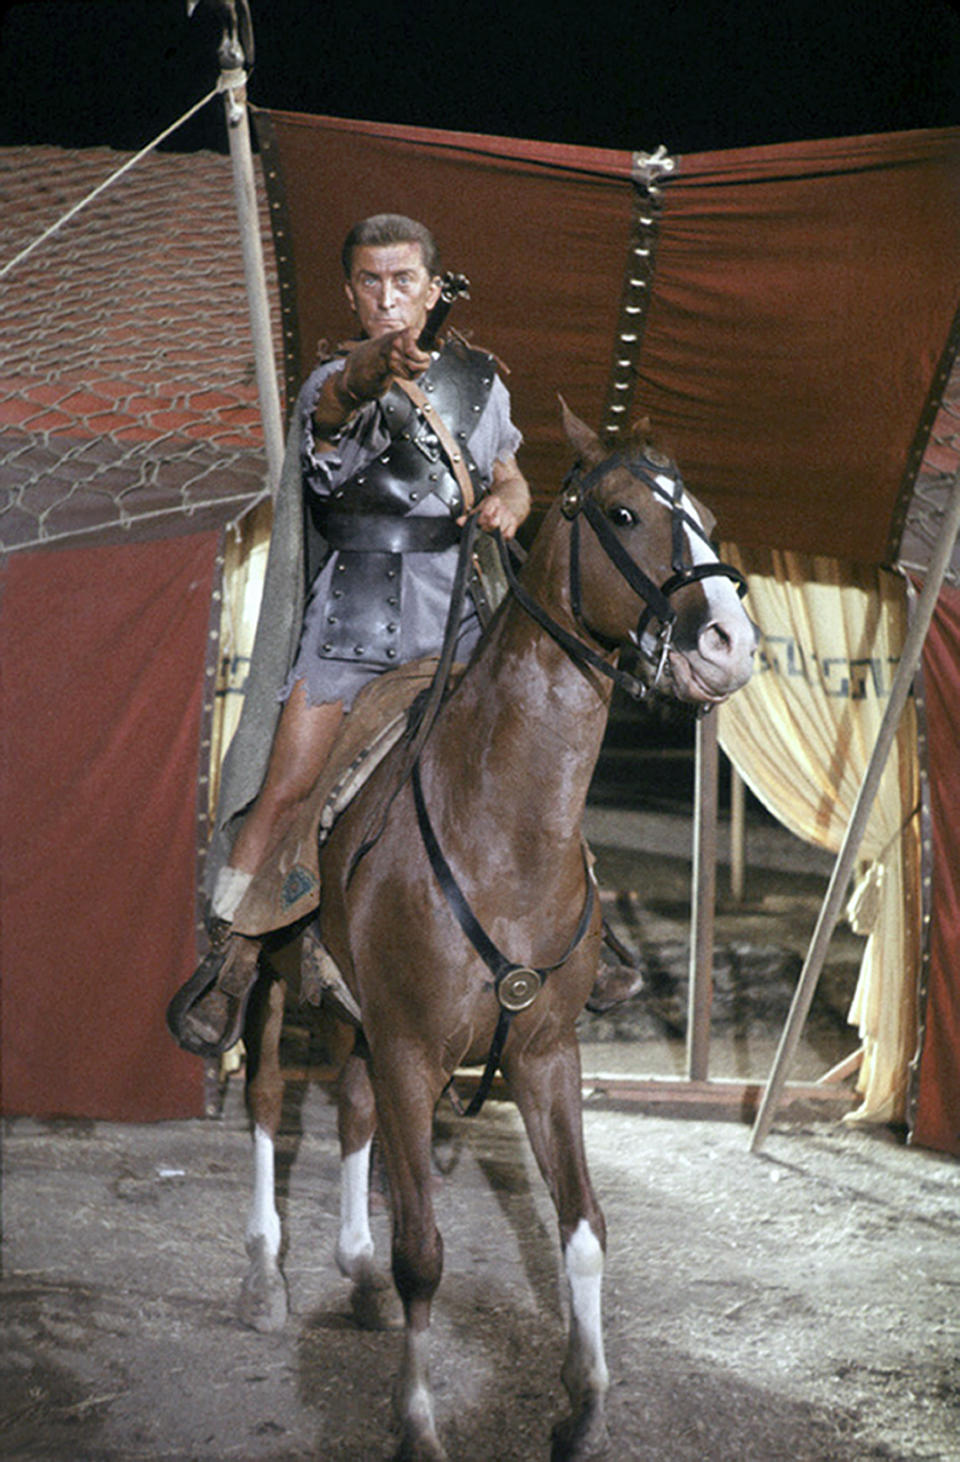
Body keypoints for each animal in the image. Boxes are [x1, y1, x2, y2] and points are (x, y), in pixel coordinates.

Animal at [235, 403, 753, 1462]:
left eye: (709, 517)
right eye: (624, 512)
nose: (730, 643)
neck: (504, 827)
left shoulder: (544, 1051)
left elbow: (584, 1227)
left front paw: (583, 1405)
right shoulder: (411, 1048)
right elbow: (424, 1255)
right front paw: (418, 1423)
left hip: (359, 1014)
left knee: (350, 1108)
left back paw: (351, 1270)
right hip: (277, 975)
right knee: (267, 1099)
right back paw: (267, 1272)